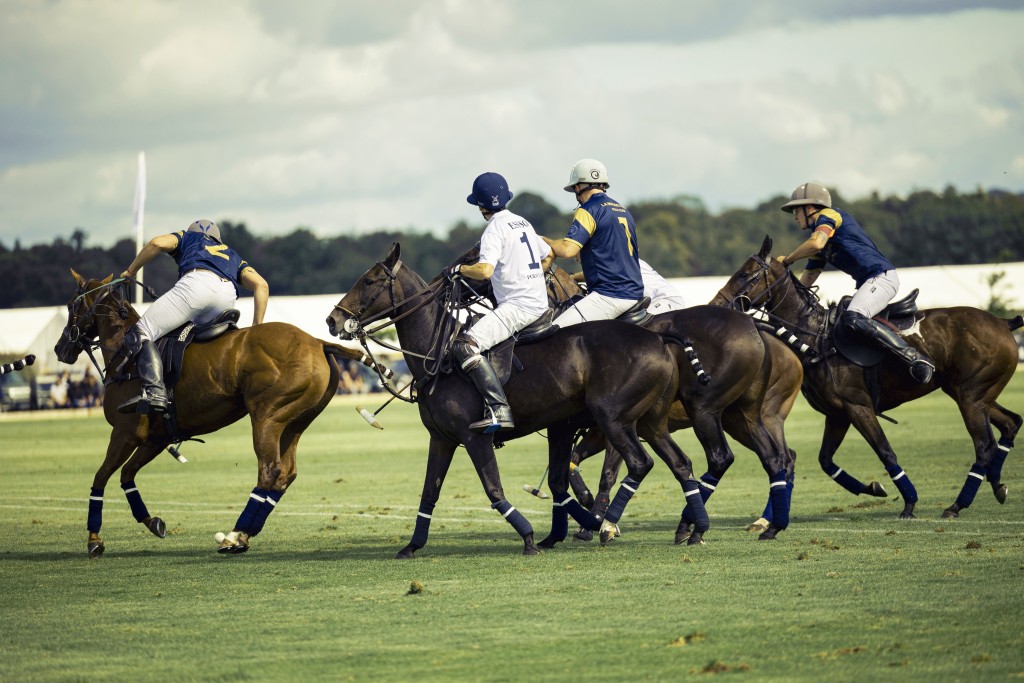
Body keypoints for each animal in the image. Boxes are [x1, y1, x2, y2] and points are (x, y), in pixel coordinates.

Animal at [54, 270, 378, 557]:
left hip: (267, 416)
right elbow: (126, 475)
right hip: (296, 421)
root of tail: (317, 341)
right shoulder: (156, 438)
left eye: (71, 305)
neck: (125, 355)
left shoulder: (125, 432)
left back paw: (235, 536)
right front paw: (153, 522)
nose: (60, 349)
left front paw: (94, 540)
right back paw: (244, 534)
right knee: (286, 473)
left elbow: (101, 477)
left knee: (269, 470)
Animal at [323, 244, 757, 557]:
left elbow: (497, 489)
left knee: (643, 462)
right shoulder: (443, 439)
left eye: (370, 280)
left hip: (617, 417)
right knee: (682, 464)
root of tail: (659, 336)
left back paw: (611, 524)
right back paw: (693, 529)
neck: (440, 351)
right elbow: (431, 491)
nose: (332, 319)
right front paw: (412, 545)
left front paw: (533, 537)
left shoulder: (474, 436)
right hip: (651, 420)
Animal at [548, 266, 802, 540]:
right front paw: (589, 506)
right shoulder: (598, 431)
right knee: (776, 457)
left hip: (714, 410)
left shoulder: (614, 427)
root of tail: (752, 323)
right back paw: (770, 524)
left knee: (733, 458)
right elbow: (574, 460)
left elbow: (607, 474)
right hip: (742, 417)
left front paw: (596, 523)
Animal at [712, 237, 1024, 520]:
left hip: (970, 397)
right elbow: (826, 461)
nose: (717, 304)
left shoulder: (858, 407)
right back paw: (998, 487)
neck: (817, 338)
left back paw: (957, 505)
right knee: (1010, 423)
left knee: (984, 446)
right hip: (974, 394)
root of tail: (1003, 322)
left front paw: (909, 504)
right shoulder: (837, 414)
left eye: (744, 274)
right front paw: (874, 488)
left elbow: (886, 452)